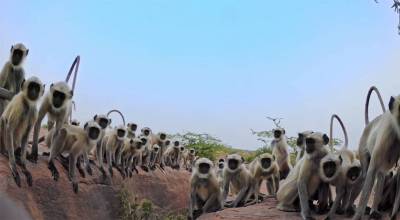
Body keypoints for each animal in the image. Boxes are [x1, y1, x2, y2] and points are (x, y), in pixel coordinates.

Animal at [354, 87, 400, 219]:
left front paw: (394, 215)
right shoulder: (387, 132)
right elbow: (371, 171)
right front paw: (358, 216)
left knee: (381, 175)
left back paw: (374, 210)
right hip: (362, 147)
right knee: (366, 175)